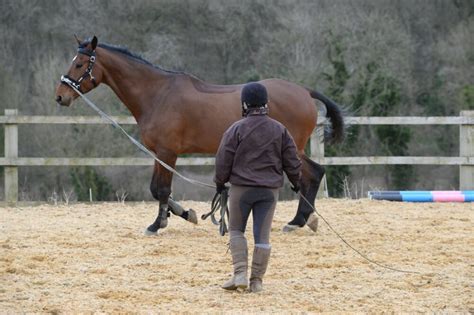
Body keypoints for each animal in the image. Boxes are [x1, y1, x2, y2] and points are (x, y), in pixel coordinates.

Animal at [55, 36, 344, 235]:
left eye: (79, 63)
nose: (61, 96)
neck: (157, 94)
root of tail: (304, 91)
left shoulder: (168, 152)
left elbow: (161, 189)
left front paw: (157, 224)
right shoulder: (159, 154)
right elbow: (158, 190)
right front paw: (184, 213)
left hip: (292, 148)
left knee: (313, 174)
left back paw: (298, 221)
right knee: (313, 174)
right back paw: (303, 220)